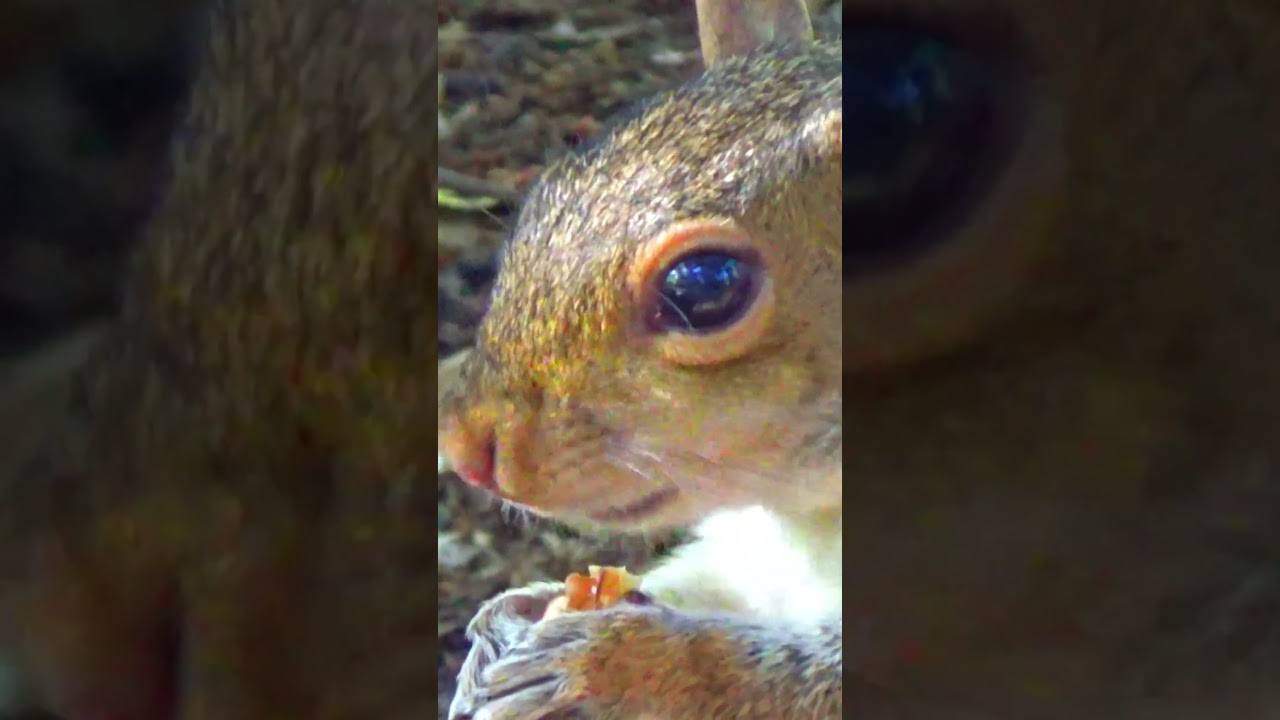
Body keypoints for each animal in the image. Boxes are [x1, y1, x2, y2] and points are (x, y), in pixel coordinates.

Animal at [442, 0, 1280, 718]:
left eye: (703, 286)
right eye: (546, 191)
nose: (465, 447)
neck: (806, 520)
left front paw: (619, 664)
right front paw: (510, 618)